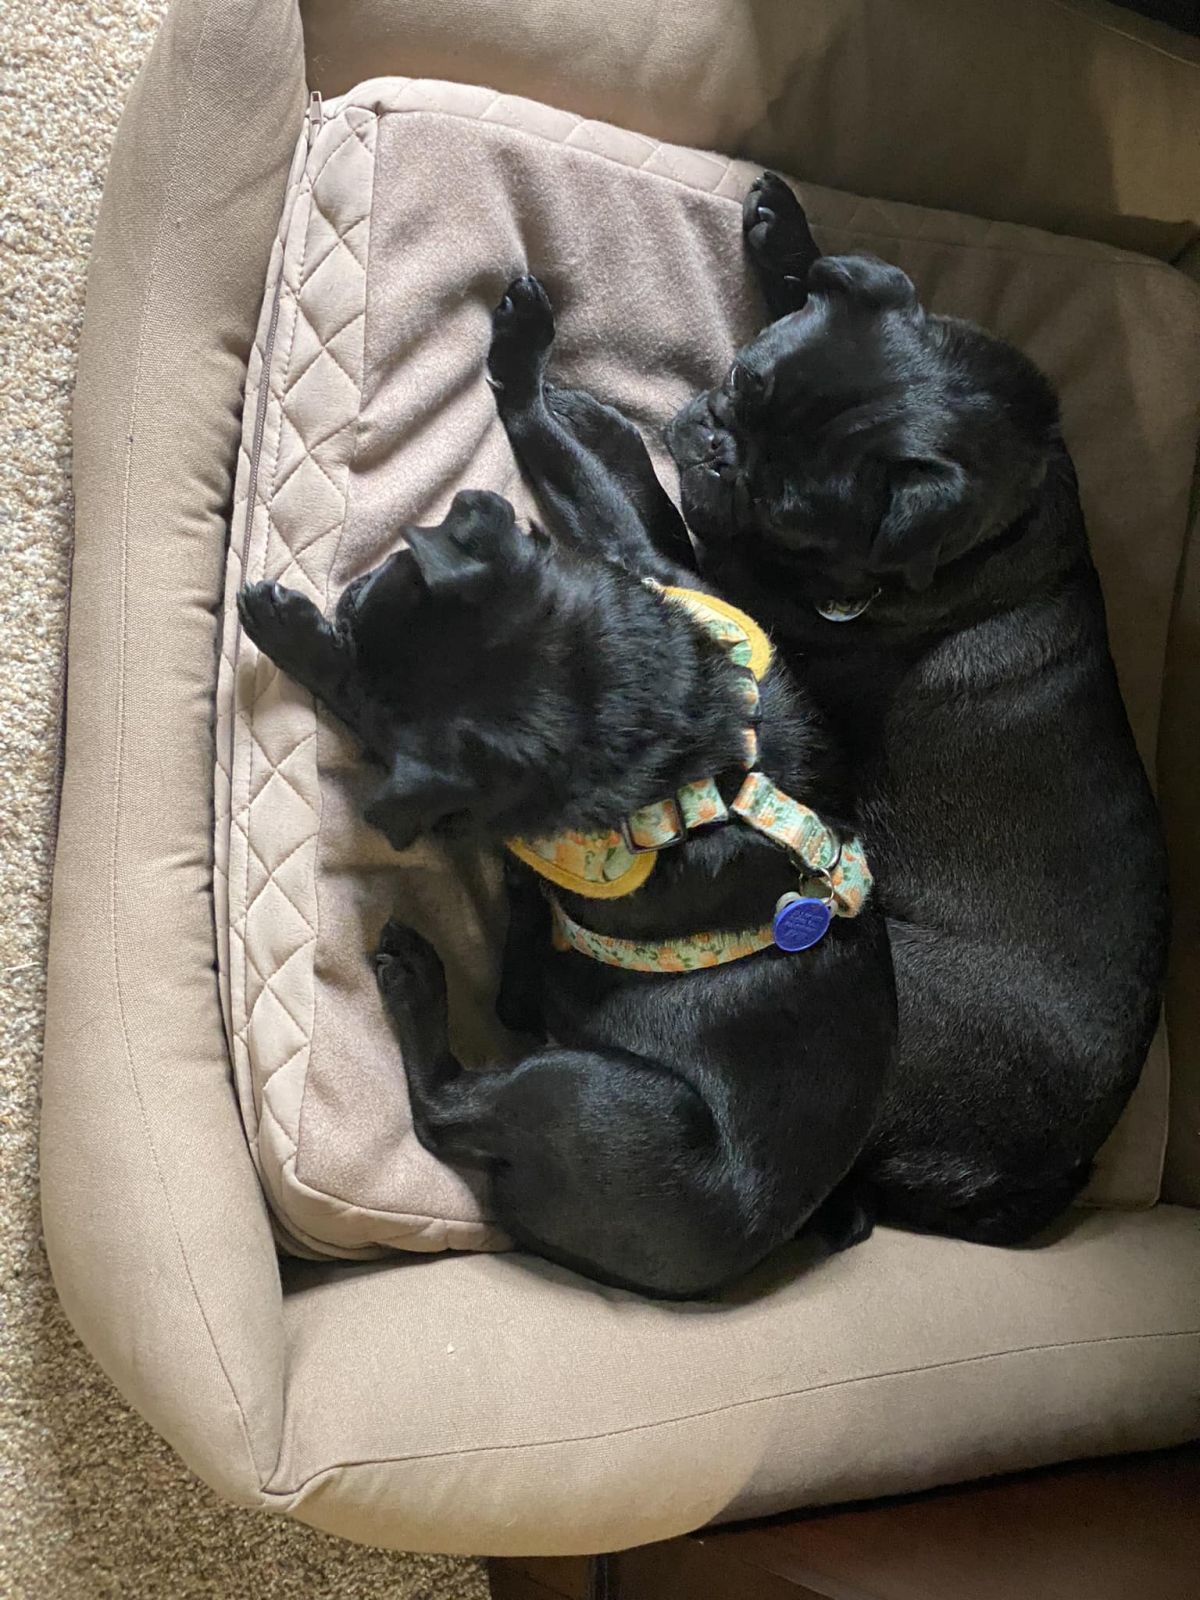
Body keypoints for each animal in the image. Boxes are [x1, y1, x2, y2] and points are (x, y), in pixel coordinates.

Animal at [236, 277, 896, 1298]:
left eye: (374, 585)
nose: (345, 596)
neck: (671, 727)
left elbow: (354, 694)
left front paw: (296, 634)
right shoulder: (638, 566)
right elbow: (578, 477)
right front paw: (531, 366)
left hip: (583, 1094)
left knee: (446, 1109)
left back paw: (420, 982)